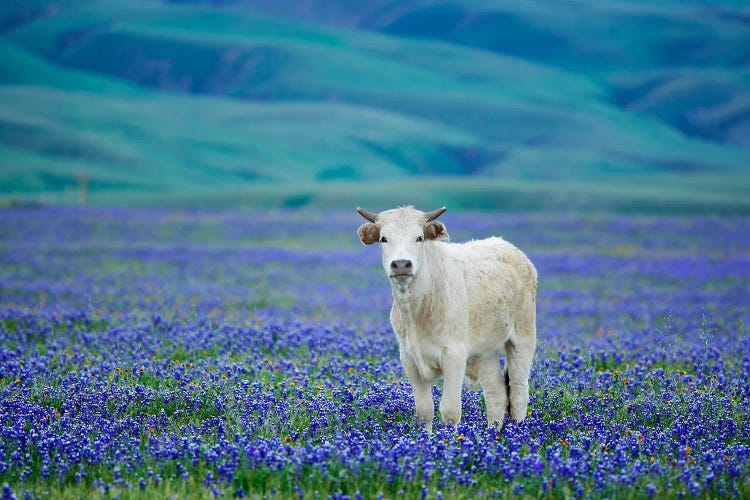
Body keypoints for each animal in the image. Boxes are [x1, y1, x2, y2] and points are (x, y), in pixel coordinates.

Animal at [356, 205, 536, 432]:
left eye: (419, 238)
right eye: (383, 238)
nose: (401, 264)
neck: (416, 310)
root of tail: (508, 246)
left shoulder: (454, 355)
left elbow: (450, 411)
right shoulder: (409, 359)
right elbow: (424, 411)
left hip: (523, 339)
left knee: (519, 391)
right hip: (487, 350)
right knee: (496, 393)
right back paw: (492, 434)